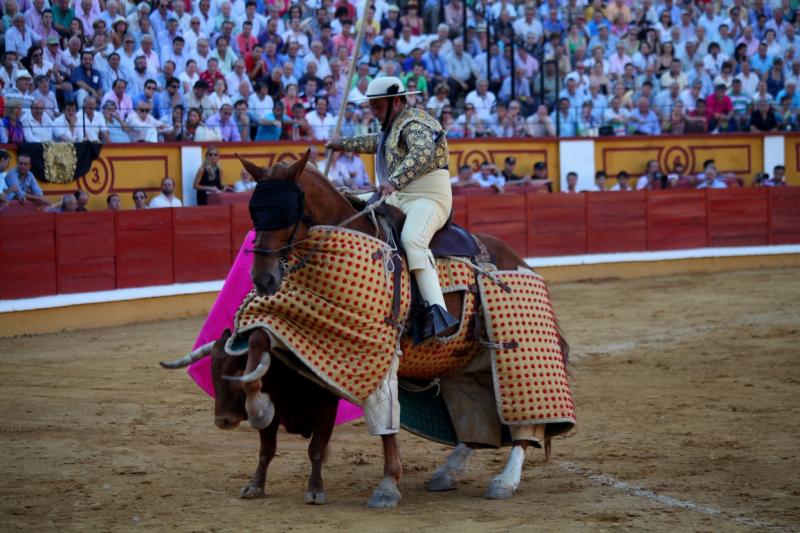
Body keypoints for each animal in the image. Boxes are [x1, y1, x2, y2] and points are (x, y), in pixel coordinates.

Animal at [228, 150, 572, 508]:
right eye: (254, 211)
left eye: (291, 212)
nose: (263, 278)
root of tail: (520, 259)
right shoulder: (305, 329)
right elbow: (257, 341)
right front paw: (259, 410)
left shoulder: (380, 350)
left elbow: (386, 416)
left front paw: (387, 486)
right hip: (467, 364)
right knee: (476, 414)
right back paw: (447, 473)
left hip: (521, 356)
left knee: (526, 425)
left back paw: (505, 480)